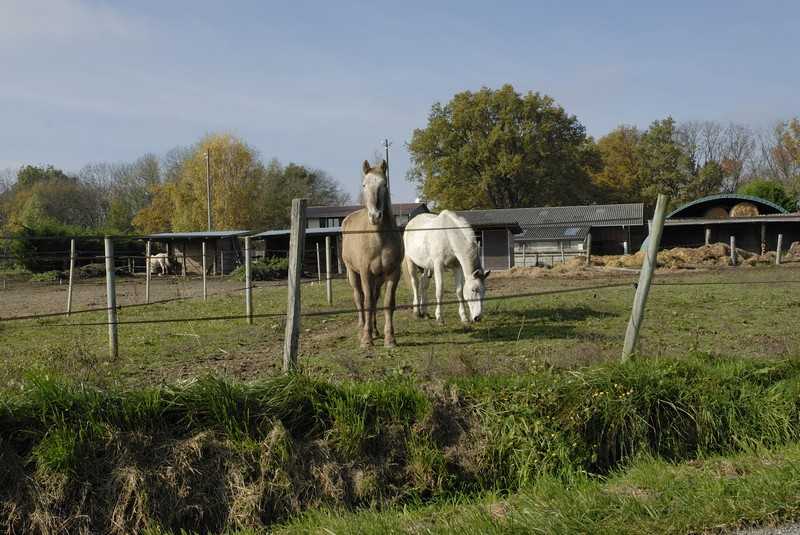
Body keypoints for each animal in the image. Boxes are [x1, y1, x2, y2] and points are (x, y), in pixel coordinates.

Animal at [340, 159, 404, 348]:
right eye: (364, 185)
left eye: (384, 185)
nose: (375, 216)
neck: (378, 239)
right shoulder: (365, 273)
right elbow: (367, 302)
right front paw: (366, 339)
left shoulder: (393, 273)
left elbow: (387, 303)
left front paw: (390, 339)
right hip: (353, 273)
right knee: (359, 298)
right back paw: (362, 328)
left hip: (378, 278)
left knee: (375, 298)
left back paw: (375, 330)